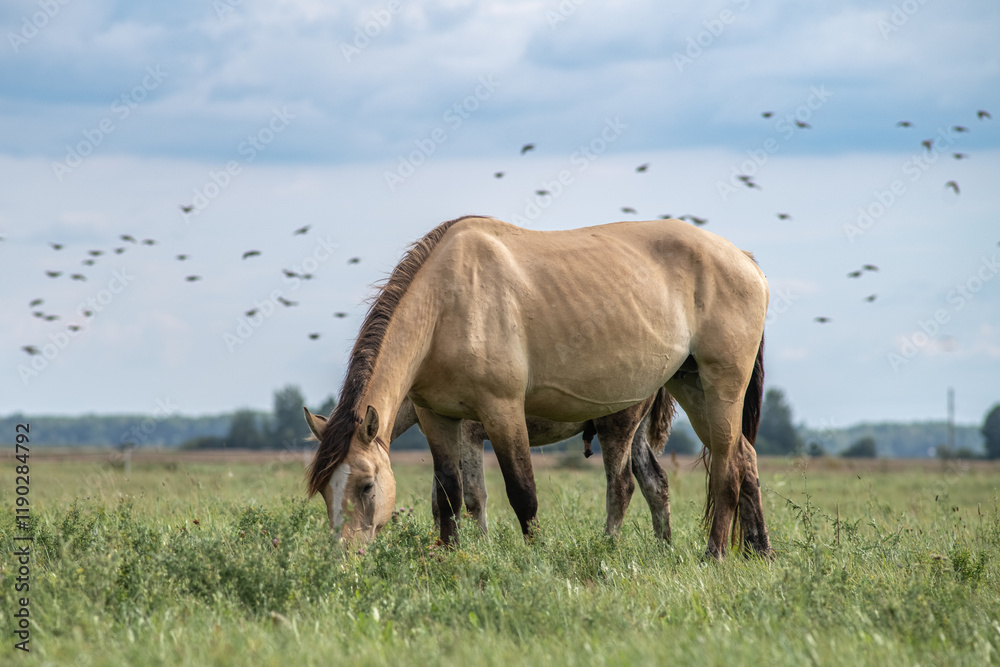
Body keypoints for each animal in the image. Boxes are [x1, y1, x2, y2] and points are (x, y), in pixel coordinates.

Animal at [304, 388, 676, 540]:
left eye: (366, 485)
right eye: (322, 490)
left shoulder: (469, 436)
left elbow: (474, 496)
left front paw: (482, 546)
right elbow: (441, 500)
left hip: (616, 428)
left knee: (622, 486)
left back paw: (607, 546)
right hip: (637, 435)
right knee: (656, 484)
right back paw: (663, 548)